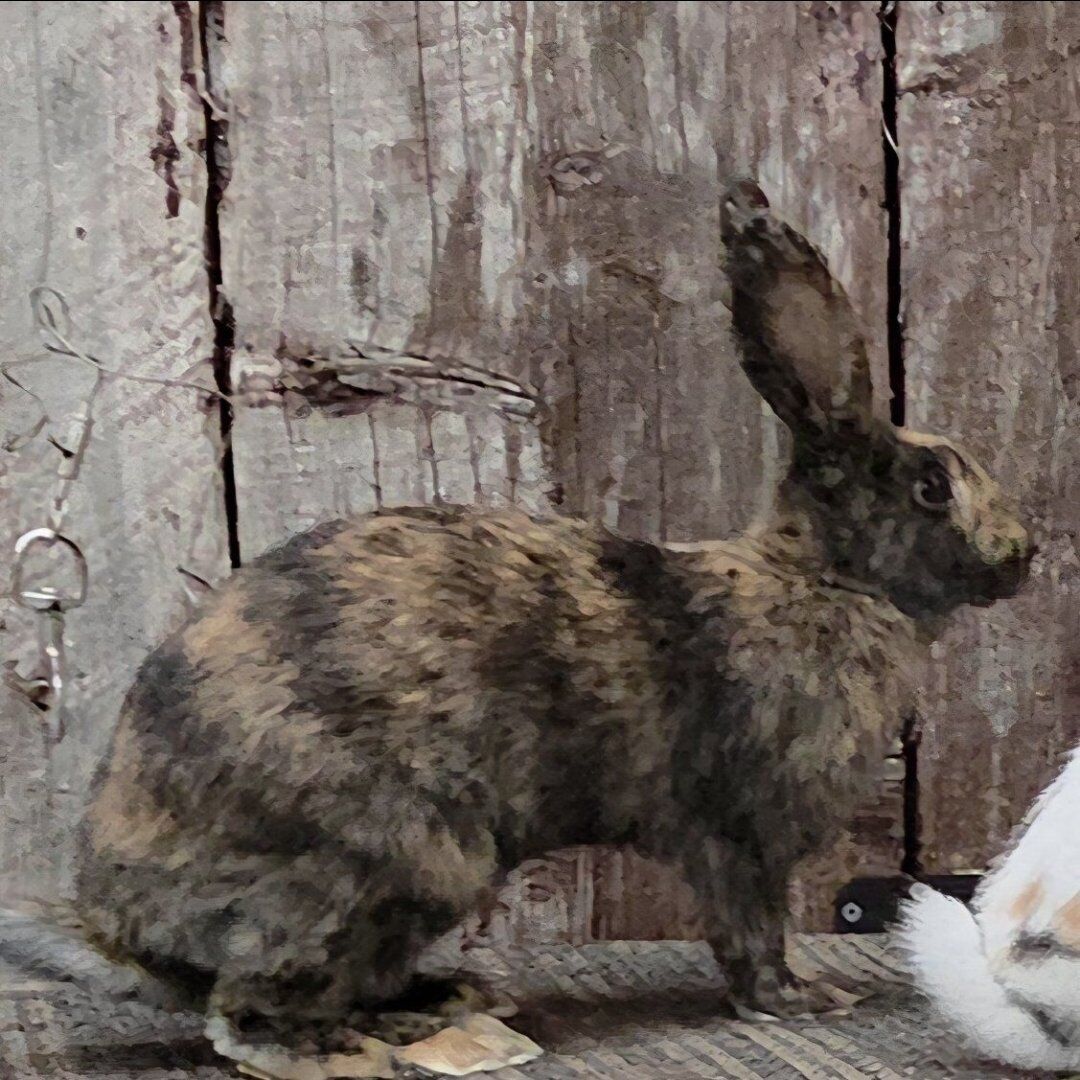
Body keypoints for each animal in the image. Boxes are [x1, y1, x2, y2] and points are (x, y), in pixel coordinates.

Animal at [74, 180, 1032, 1061]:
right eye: (933, 487)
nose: (1024, 555)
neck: (827, 578)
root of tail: (120, 919)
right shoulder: (741, 834)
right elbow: (751, 930)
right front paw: (803, 1001)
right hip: (393, 863)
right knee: (247, 1017)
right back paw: (367, 1047)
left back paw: (447, 1001)